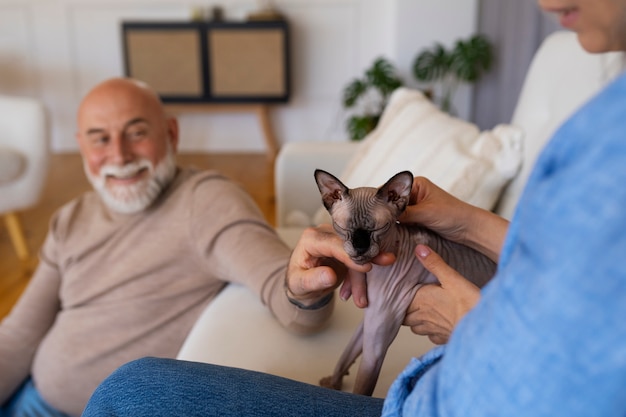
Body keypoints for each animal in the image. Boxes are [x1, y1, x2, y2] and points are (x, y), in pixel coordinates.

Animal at [314, 168, 494, 394]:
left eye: (379, 228)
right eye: (341, 226)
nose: (360, 247)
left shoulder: (377, 339)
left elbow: (362, 385)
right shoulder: (371, 316)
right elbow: (347, 353)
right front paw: (334, 383)